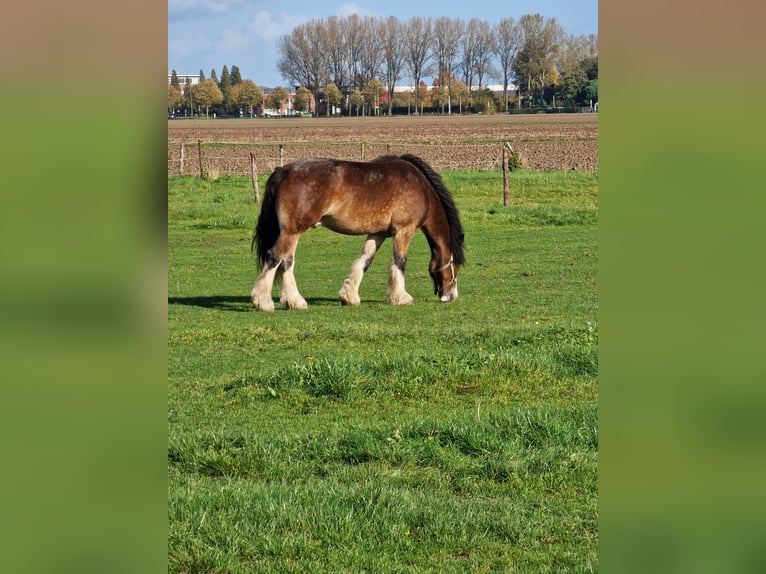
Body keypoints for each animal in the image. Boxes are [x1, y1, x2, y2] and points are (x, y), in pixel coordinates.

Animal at [254, 155, 468, 312]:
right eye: (455, 266)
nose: (451, 296)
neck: (421, 187)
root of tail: (284, 171)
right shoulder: (403, 231)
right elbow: (399, 262)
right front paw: (400, 297)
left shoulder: (377, 234)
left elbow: (365, 260)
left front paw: (349, 296)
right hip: (292, 231)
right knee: (274, 257)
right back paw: (263, 302)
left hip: (292, 233)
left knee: (286, 262)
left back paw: (294, 301)